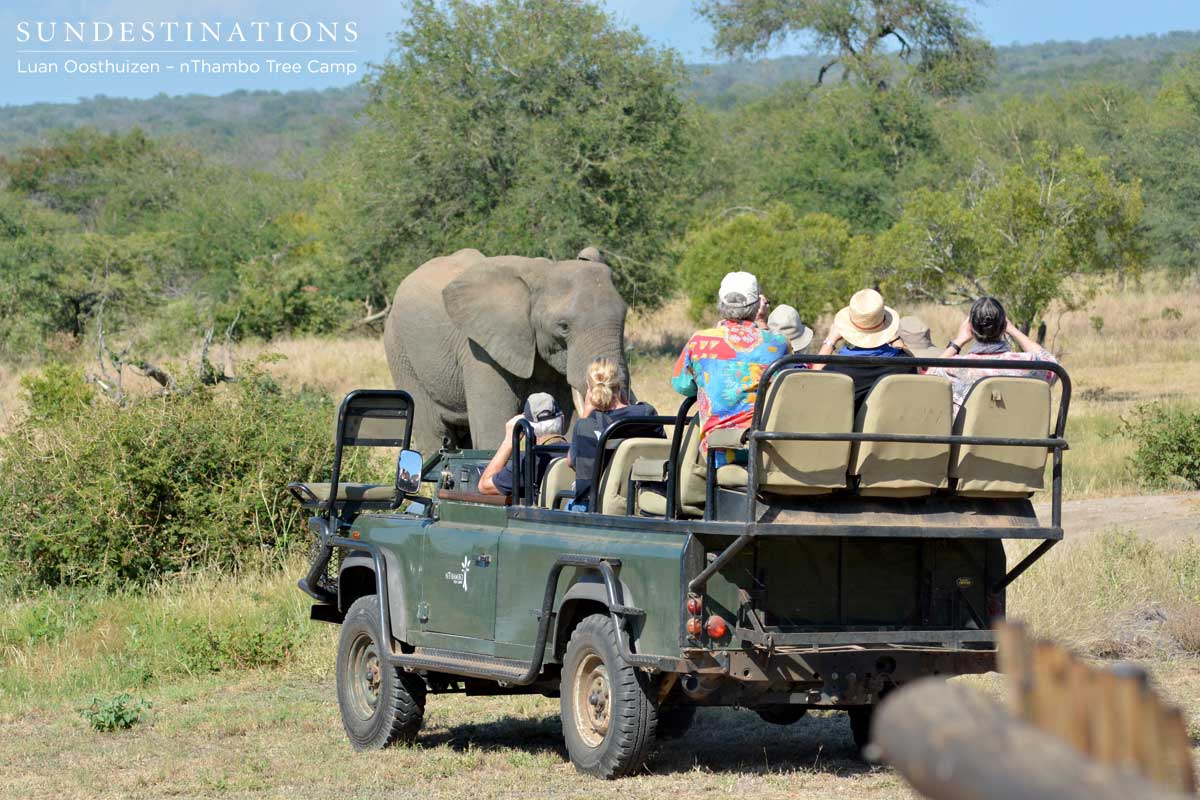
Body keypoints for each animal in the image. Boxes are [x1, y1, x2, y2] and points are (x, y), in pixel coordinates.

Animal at [383, 248, 633, 455]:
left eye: (624, 317)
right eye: (563, 326)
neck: (543, 272)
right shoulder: (479, 350)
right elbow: (492, 432)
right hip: (400, 352)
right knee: (433, 434)